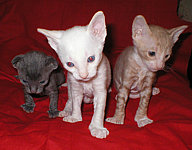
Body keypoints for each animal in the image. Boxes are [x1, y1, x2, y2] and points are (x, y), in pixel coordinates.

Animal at [37, 11, 111, 139]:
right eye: (70, 64)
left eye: (91, 59)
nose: (83, 75)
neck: (87, 82)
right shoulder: (75, 86)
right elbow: (76, 102)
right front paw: (75, 117)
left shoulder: (101, 89)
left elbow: (99, 109)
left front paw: (97, 127)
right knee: (70, 99)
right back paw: (67, 110)